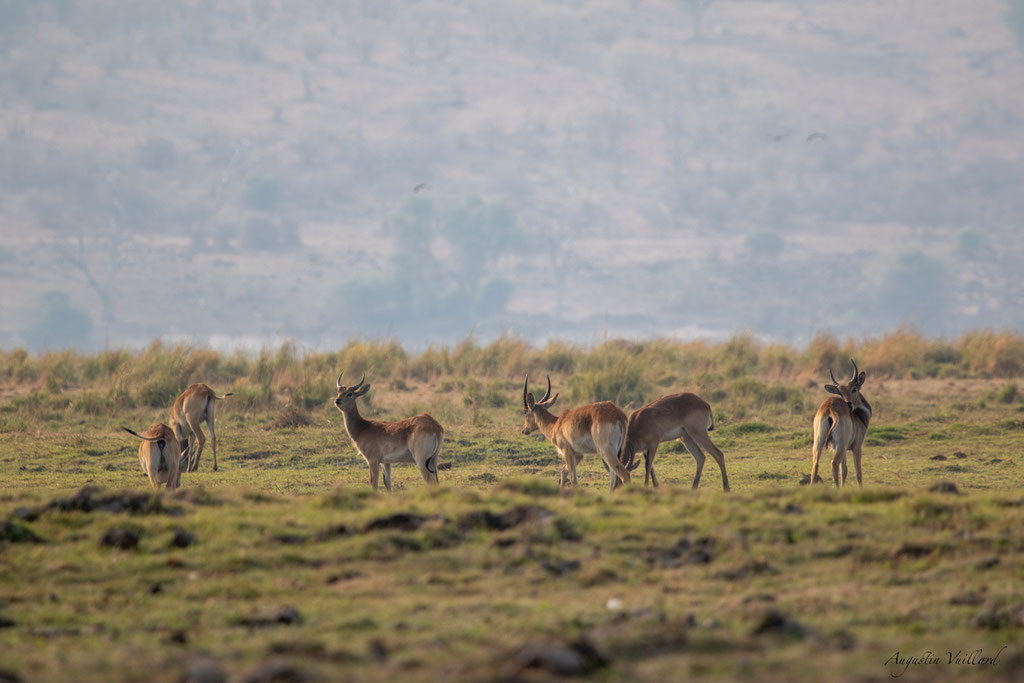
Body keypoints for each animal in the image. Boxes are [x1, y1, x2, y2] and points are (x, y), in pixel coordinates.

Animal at [806, 360, 872, 489]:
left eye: (854, 389)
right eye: (841, 393)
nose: (849, 404)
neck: (858, 417)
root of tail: (829, 409)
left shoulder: (845, 449)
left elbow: (844, 470)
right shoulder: (856, 447)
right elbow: (858, 473)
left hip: (819, 442)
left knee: (815, 465)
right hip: (840, 446)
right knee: (834, 463)